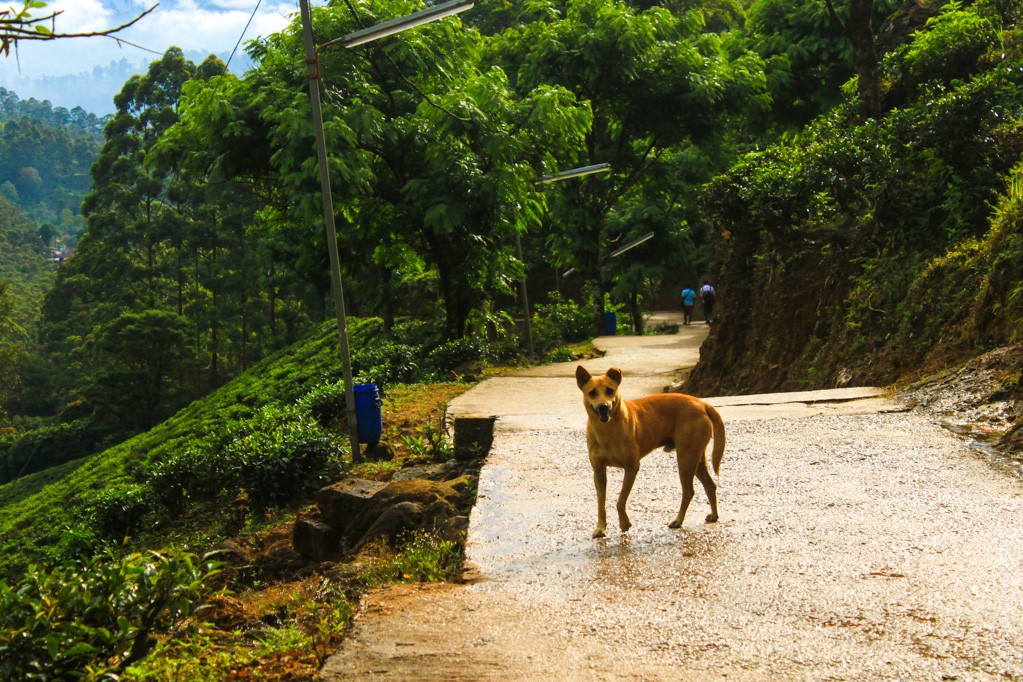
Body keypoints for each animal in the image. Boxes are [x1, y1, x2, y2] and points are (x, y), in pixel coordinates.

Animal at [576, 368, 728, 539]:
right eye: (592, 392)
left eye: (610, 390)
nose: (603, 406)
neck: (606, 430)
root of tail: (702, 403)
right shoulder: (599, 471)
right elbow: (600, 503)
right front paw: (601, 528)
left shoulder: (632, 468)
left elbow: (620, 500)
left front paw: (624, 523)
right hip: (697, 459)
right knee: (710, 485)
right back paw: (713, 515)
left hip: (686, 458)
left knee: (689, 491)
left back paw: (678, 520)